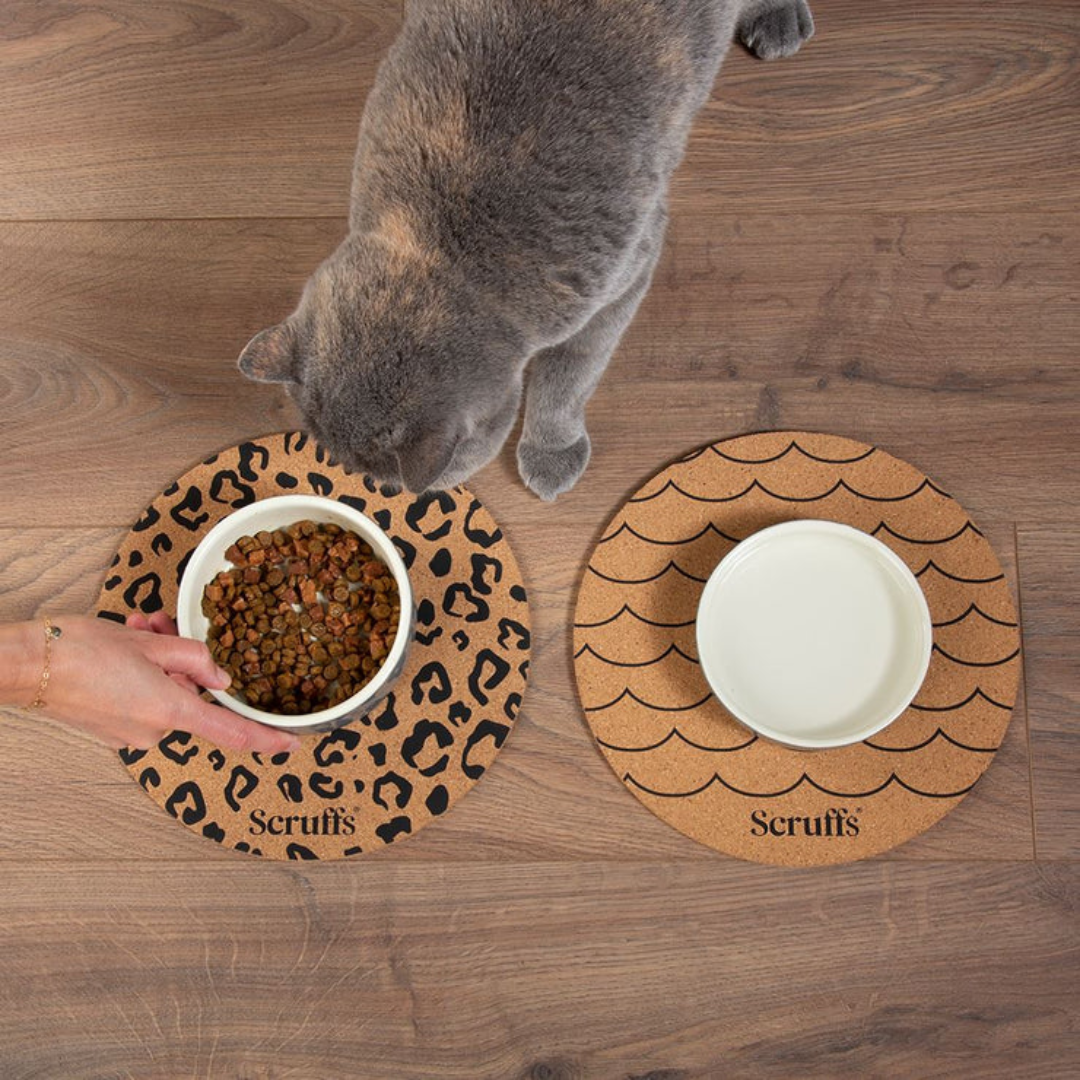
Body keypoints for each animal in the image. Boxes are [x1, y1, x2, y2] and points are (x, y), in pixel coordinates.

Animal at [236, 0, 812, 496]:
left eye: (381, 477)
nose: (371, 487)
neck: (444, 248)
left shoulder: (624, 279)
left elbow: (570, 376)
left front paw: (551, 451)